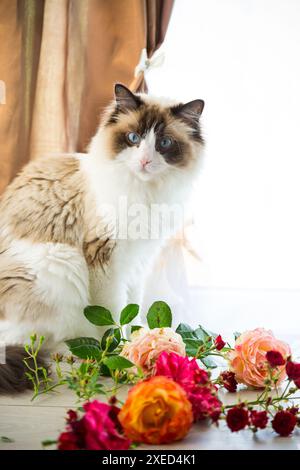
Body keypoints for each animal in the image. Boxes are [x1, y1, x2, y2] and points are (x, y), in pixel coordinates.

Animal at [0, 82, 204, 392]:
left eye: (164, 144)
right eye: (133, 138)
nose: (144, 161)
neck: (146, 193)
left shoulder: (139, 261)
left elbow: (133, 311)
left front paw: (138, 341)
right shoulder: (106, 259)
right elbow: (114, 316)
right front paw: (120, 355)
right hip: (61, 263)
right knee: (36, 344)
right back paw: (78, 355)